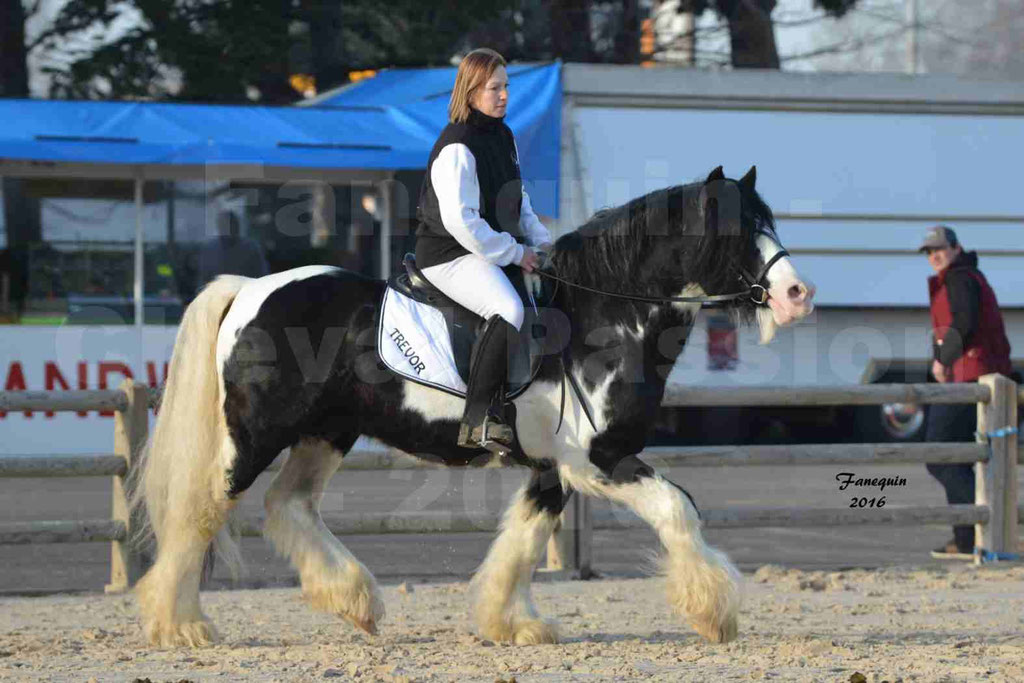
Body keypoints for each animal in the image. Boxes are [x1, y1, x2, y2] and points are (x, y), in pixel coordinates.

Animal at [134, 163, 815, 647]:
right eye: (736, 231)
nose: (797, 295)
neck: (604, 320)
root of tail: (253, 289)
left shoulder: (554, 468)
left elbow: (524, 540)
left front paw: (512, 623)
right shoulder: (599, 461)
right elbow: (679, 509)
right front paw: (714, 613)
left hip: (326, 432)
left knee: (289, 505)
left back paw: (356, 602)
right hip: (255, 435)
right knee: (202, 512)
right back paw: (181, 625)